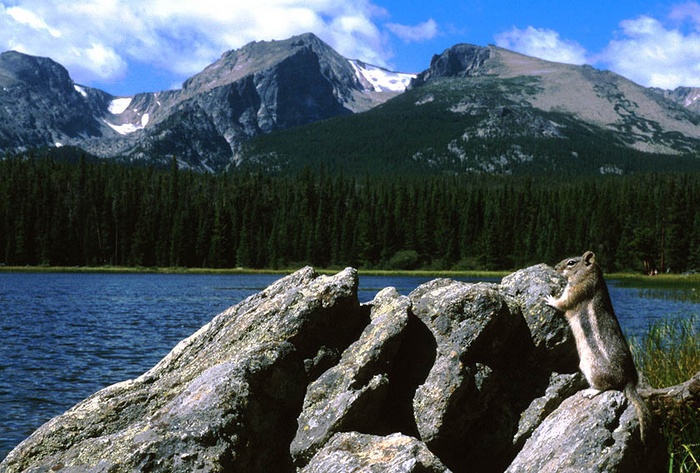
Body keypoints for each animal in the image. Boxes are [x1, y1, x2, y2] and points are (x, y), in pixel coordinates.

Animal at [545, 250, 651, 443]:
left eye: (571, 262)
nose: (555, 267)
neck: (590, 276)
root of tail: (629, 382)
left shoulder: (576, 292)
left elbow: (562, 304)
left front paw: (550, 299)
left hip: (590, 368)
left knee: (607, 386)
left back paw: (591, 392)